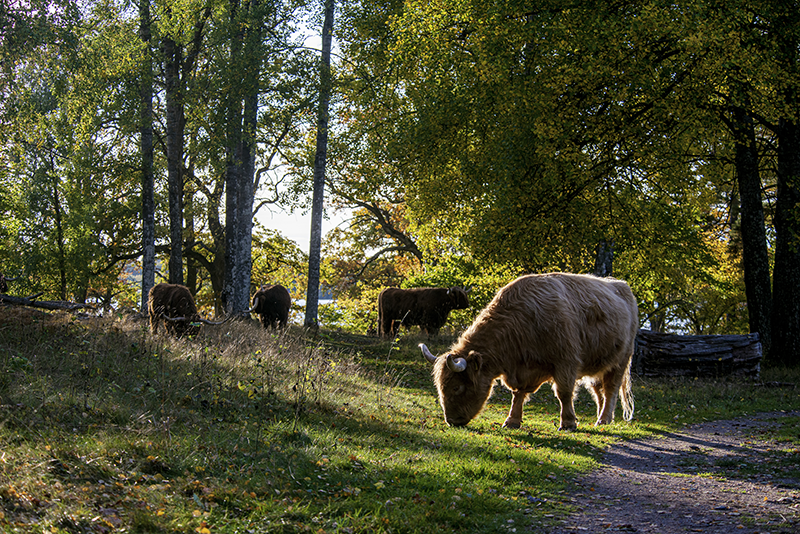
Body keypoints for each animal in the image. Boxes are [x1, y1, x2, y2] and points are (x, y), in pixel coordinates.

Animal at [419, 273, 638, 431]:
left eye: (457, 387)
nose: (451, 420)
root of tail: (621, 285)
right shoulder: (523, 370)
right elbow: (518, 393)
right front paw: (512, 420)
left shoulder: (566, 362)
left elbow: (564, 393)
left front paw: (568, 423)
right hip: (598, 365)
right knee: (598, 391)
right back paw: (602, 418)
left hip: (620, 361)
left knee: (610, 390)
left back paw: (603, 419)